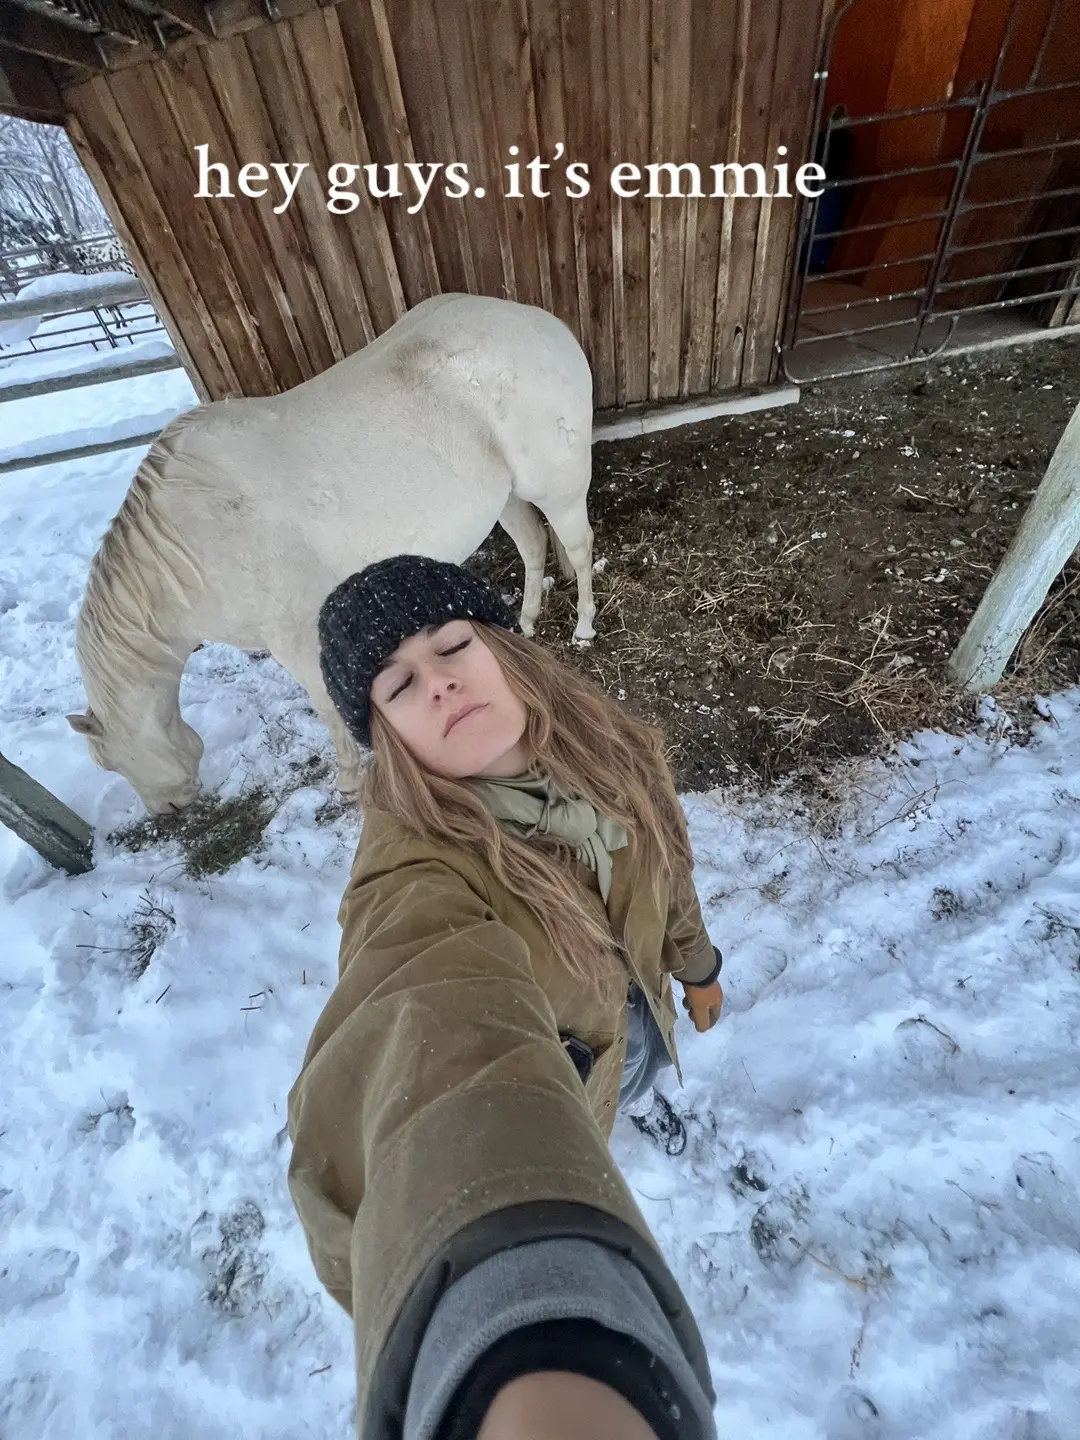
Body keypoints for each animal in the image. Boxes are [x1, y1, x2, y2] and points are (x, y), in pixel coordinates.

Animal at [67, 295, 601, 812]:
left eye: (112, 762)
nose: (168, 810)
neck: (184, 552)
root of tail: (545, 323)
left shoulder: (295, 637)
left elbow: (326, 707)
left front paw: (347, 780)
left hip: (556, 487)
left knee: (577, 549)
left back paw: (584, 628)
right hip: (507, 497)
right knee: (533, 545)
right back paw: (526, 622)